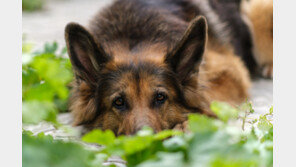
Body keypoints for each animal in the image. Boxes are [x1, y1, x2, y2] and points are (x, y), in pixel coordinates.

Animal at [65, 0, 272, 135]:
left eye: (160, 97)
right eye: (118, 102)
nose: (144, 139)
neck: (136, 37)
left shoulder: (231, 73)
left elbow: (209, 100)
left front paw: (188, 125)